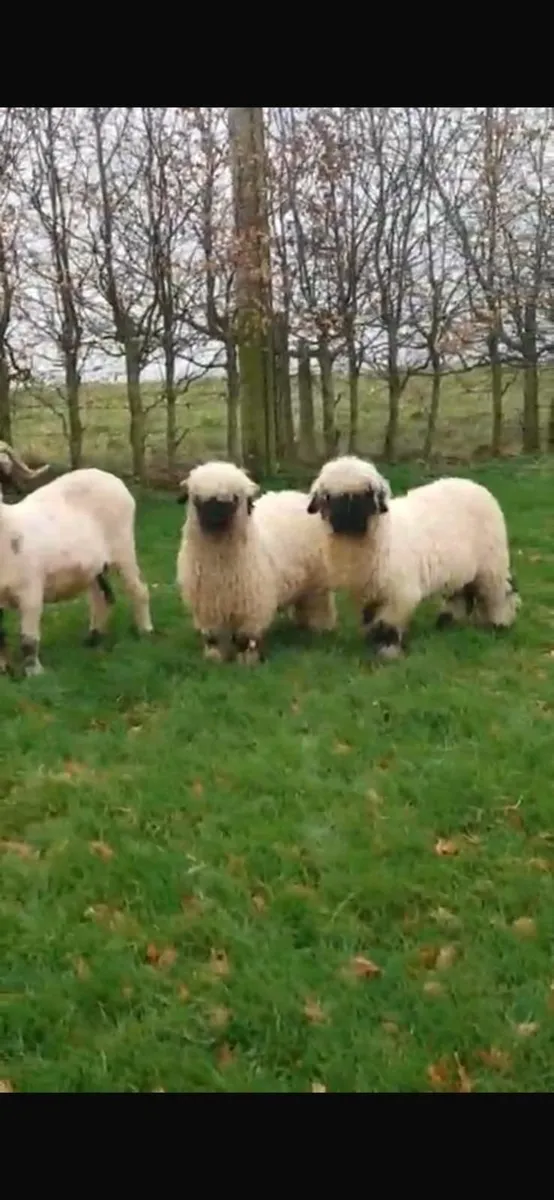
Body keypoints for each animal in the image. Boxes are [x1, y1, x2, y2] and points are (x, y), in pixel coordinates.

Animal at [0, 466, 153, 677]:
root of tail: (109, 477)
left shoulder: (31, 591)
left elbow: (28, 640)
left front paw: (34, 673)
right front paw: (4, 670)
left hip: (123, 548)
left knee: (138, 590)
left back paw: (145, 631)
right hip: (95, 567)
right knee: (101, 598)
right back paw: (93, 638)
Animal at [176, 460, 336, 664]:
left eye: (234, 499)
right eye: (197, 499)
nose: (215, 521)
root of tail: (293, 494)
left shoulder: (252, 604)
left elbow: (246, 638)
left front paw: (247, 661)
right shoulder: (207, 605)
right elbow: (212, 637)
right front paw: (214, 657)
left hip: (317, 581)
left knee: (318, 604)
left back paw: (319, 627)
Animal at [307, 454, 520, 660]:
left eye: (367, 494)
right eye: (328, 497)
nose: (348, 518)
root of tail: (472, 484)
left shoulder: (400, 592)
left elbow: (387, 624)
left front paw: (388, 652)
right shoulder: (370, 591)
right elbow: (370, 620)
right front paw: (371, 644)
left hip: (492, 561)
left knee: (500, 592)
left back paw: (499, 623)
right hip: (462, 565)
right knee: (460, 592)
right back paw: (448, 622)